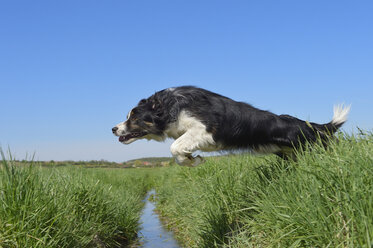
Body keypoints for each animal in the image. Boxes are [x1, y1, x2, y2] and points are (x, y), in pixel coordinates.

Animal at [111, 86, 348, 166]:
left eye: (134, 117)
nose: (113, 129)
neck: (169, 107)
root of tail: (308, 126)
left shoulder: (204, 130)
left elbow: (175, 146)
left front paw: (191, 160)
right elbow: (178, 152)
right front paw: (192, 160)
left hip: (308, 145)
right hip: (288, 152)